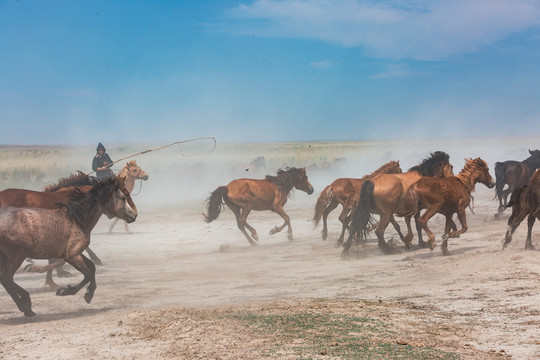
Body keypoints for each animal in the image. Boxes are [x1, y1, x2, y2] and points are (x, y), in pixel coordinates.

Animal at [0, 176, 137, 316]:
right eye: (124, 196)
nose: (134, 215)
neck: (77, 218)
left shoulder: (74, 253)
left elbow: (91, 268)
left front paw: (86, 292)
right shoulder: (71, 255)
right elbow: (87, 273)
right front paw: (68, 291)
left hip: (6, 257)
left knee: (4, 278)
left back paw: (26, 304)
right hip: (18, 254)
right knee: (7, 277)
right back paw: (27, 305)